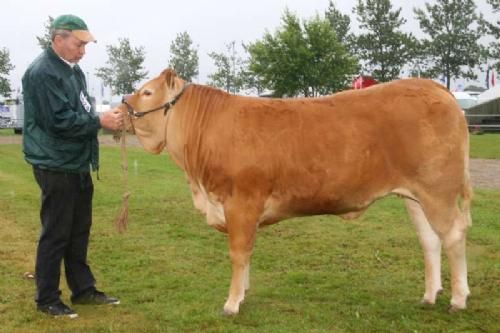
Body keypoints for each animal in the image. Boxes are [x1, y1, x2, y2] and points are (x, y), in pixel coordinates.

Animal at [121, 68, 472, 314]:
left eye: (147, 91)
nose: (122, 104)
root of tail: (433, 86)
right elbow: (247, 252)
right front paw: (243, 294)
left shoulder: (241, 202)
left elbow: (239, 252)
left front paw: (232, 303)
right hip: (415, 196)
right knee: (430, 241)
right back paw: (429, 295)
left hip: (438, 191)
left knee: (453, 235)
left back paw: (458, 298)